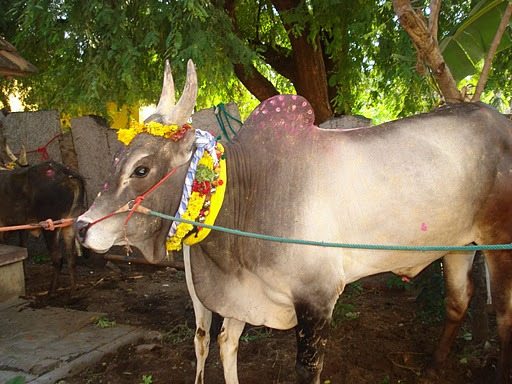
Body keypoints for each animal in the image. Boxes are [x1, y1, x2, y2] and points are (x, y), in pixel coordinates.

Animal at [76, 60, 512, 384]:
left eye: (141, 169)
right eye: (117, 158)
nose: (82, 226)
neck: (248, 192)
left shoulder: (317, 300)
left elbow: (306, 370)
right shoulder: (241, 293)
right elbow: (225, 344)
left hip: (498, 240)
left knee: (504, 313)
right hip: (459, 244)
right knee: (458, 300)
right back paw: (435, 366)